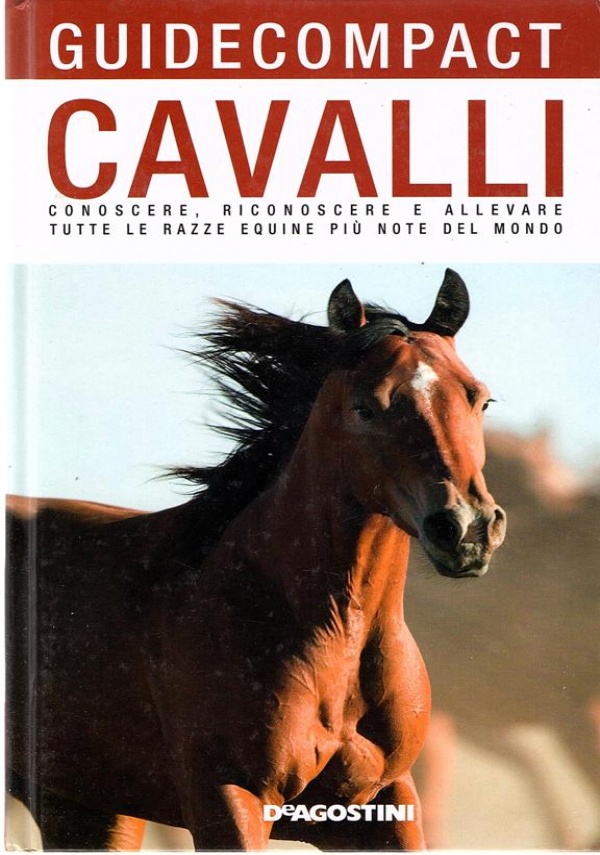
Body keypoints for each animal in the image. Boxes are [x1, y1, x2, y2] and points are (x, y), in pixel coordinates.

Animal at [6, 269, 506, 851]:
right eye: (366, 406)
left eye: (480, 400)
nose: (467, 529)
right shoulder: (230, 798)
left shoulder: (384, 798)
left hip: (93, 808)